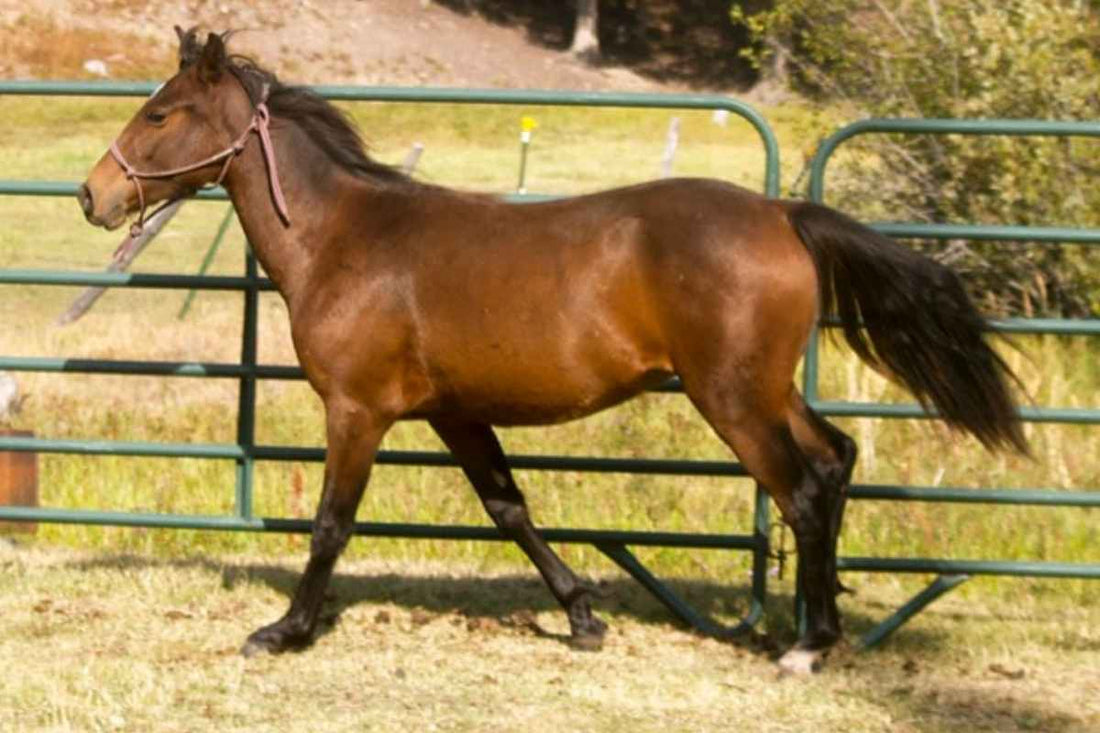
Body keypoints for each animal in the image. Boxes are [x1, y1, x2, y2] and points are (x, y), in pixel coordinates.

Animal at [78, 28, 1028, 675]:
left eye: (160, 111)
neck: (348, 238)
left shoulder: (358, 411)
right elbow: (510, 507)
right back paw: (820, 628)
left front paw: (283, 630)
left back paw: (806, 647)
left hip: (733, 398)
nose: (93, 194)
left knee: (797, 491)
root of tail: (782, 212)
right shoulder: (456, 414)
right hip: (768, 388)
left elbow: (330, 524)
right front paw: (582, 616)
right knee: (834, 462)